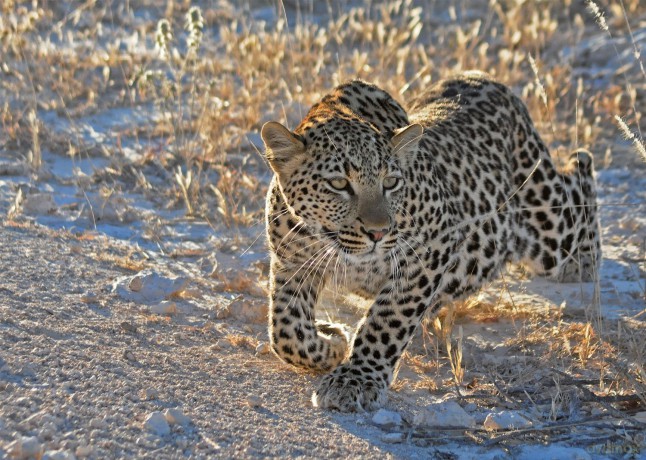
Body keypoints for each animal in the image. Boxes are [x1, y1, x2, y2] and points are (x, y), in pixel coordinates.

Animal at [260, 71, 601, 412]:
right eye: (338, 184)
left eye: (391, 182)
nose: (378, 233)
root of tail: (482, 77)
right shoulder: (291, 261)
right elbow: (284, 329)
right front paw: (330, 343)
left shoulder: (428, 251)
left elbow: (386, 321)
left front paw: (356, 379)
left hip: (549, 226)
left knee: (578, 177)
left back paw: (584, 259)